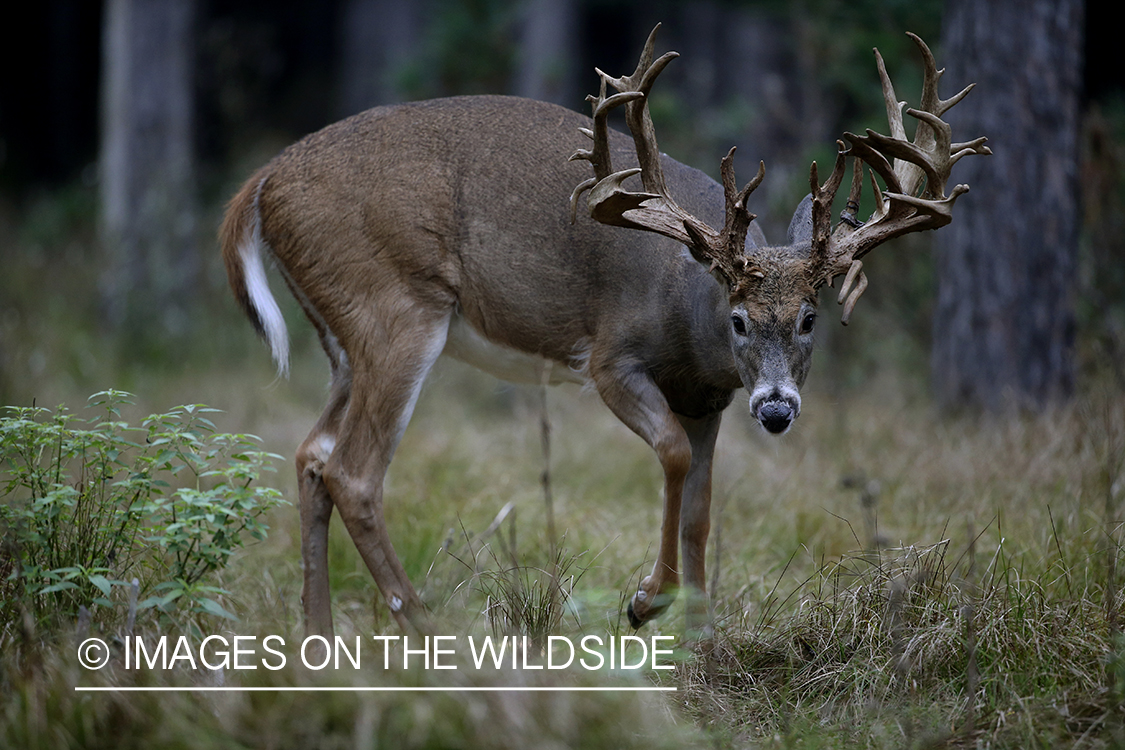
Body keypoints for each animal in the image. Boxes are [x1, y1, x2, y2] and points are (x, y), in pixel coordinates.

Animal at [221, 29, 994, 638]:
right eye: (739, 319)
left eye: (810, 318)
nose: (776, 408)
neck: (689, 311)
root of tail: (260, 181)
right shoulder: (610, 358)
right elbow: (672, 454)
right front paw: (647, 600)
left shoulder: (710, 398)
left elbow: (701, 512)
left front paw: (704, 645)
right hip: (395, 308)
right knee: (353, 471)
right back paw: (430, 631)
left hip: (342, 337)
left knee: (311, 454)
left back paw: (319, 639)